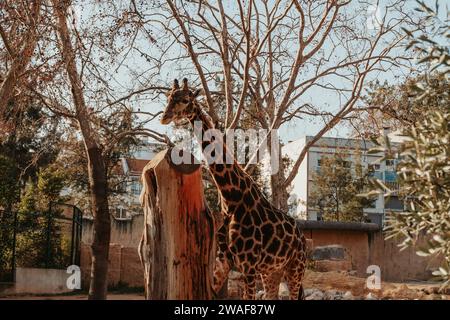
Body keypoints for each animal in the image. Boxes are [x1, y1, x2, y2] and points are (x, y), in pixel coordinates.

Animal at [160, 79, 308, 298]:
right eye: (169, 97)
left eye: (185, 99)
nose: (165, 117)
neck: (230, 197)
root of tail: (302, 237)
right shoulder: (222, 263)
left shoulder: (249, 265)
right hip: (272, 272)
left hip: (295, 268)